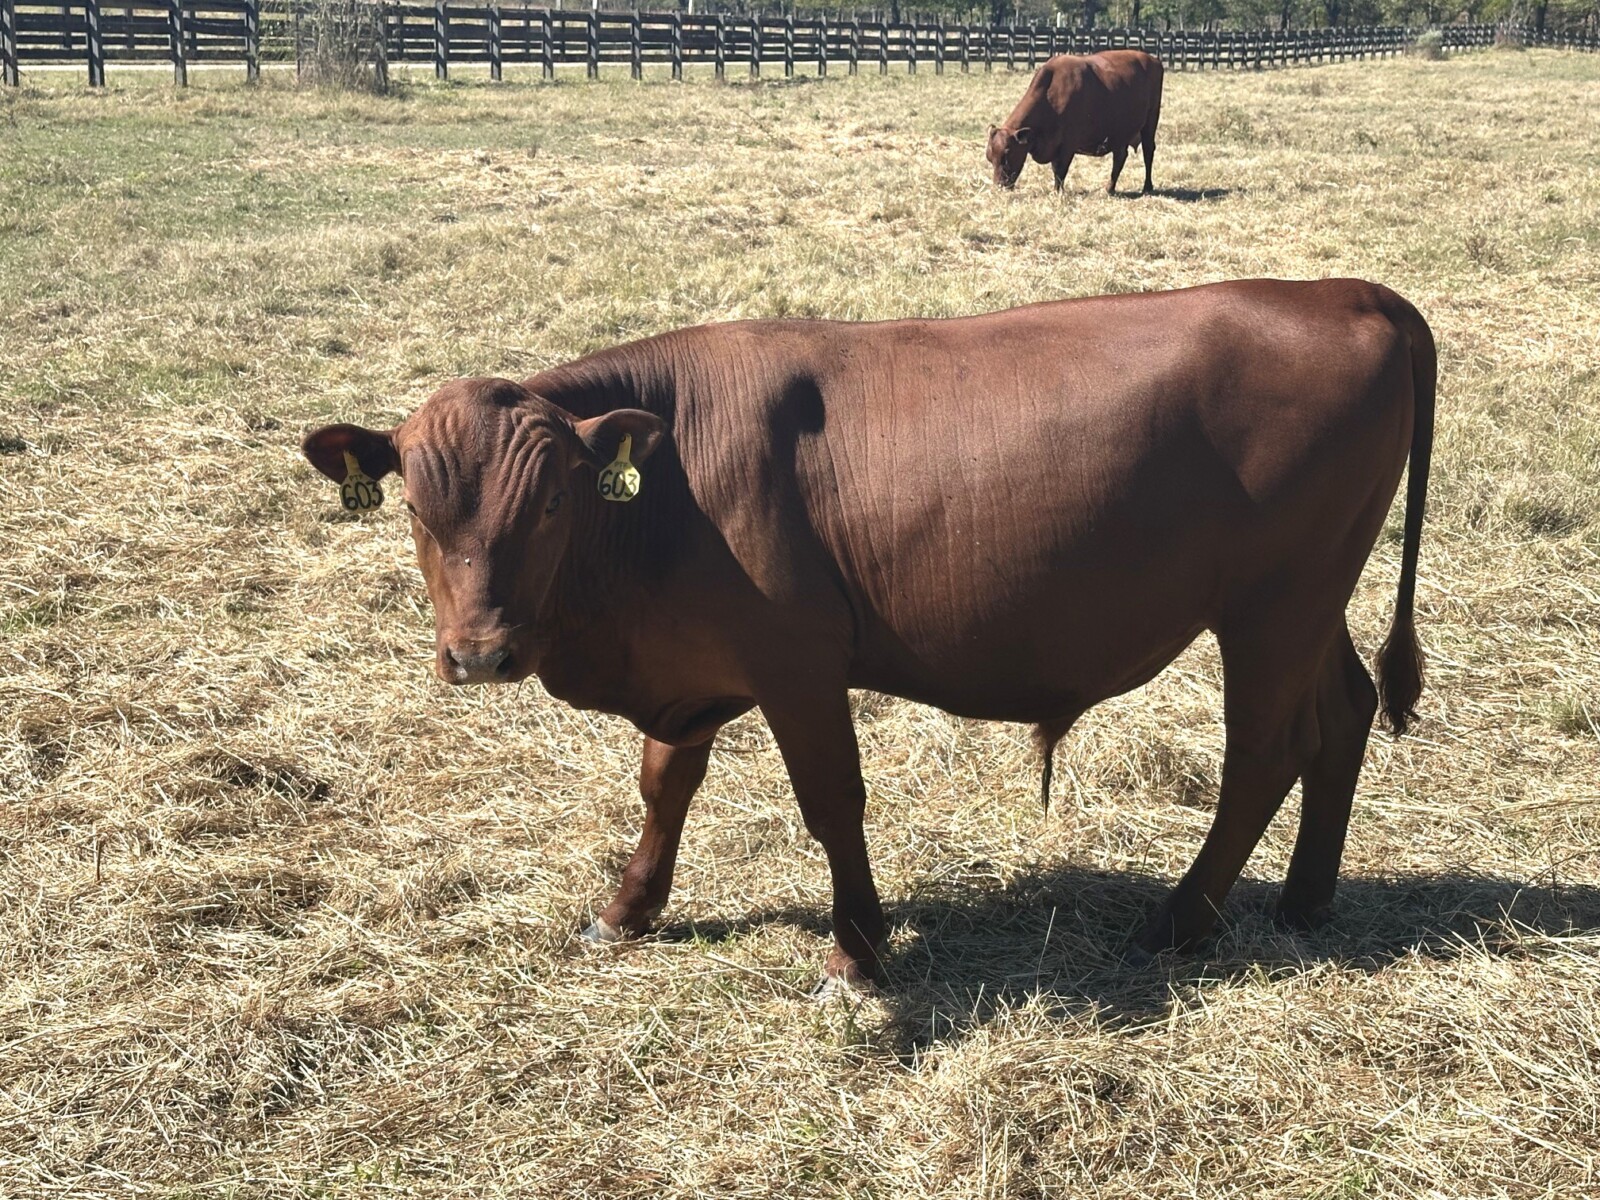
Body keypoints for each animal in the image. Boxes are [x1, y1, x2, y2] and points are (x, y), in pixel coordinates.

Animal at [301, 279, 1434, 993]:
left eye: (548, 505)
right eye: (418, 511)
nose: (479, 653)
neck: (671, 484)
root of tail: (1345, 290)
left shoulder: (798, 665)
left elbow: (830, 803)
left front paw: (856, 953)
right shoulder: (693, 665)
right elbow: (664, 784)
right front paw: (626, 910)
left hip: (1270, 606)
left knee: (1264, 754)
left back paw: (1180, 919)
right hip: (1313, 599)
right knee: (1343, 715)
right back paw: (1305, 902)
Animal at [987, 50, 1164, 195]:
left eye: (1007, 155)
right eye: (989, 157)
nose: (999, 187)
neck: (1051, 95)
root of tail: (1153, 59)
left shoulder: (1067, 146)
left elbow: (1060, 170)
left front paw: (1057, 192)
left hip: (1150, 122)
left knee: (1148, 152)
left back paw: (1147, 187)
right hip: (1119, 134)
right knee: (1120, 157)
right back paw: (1110, 188)